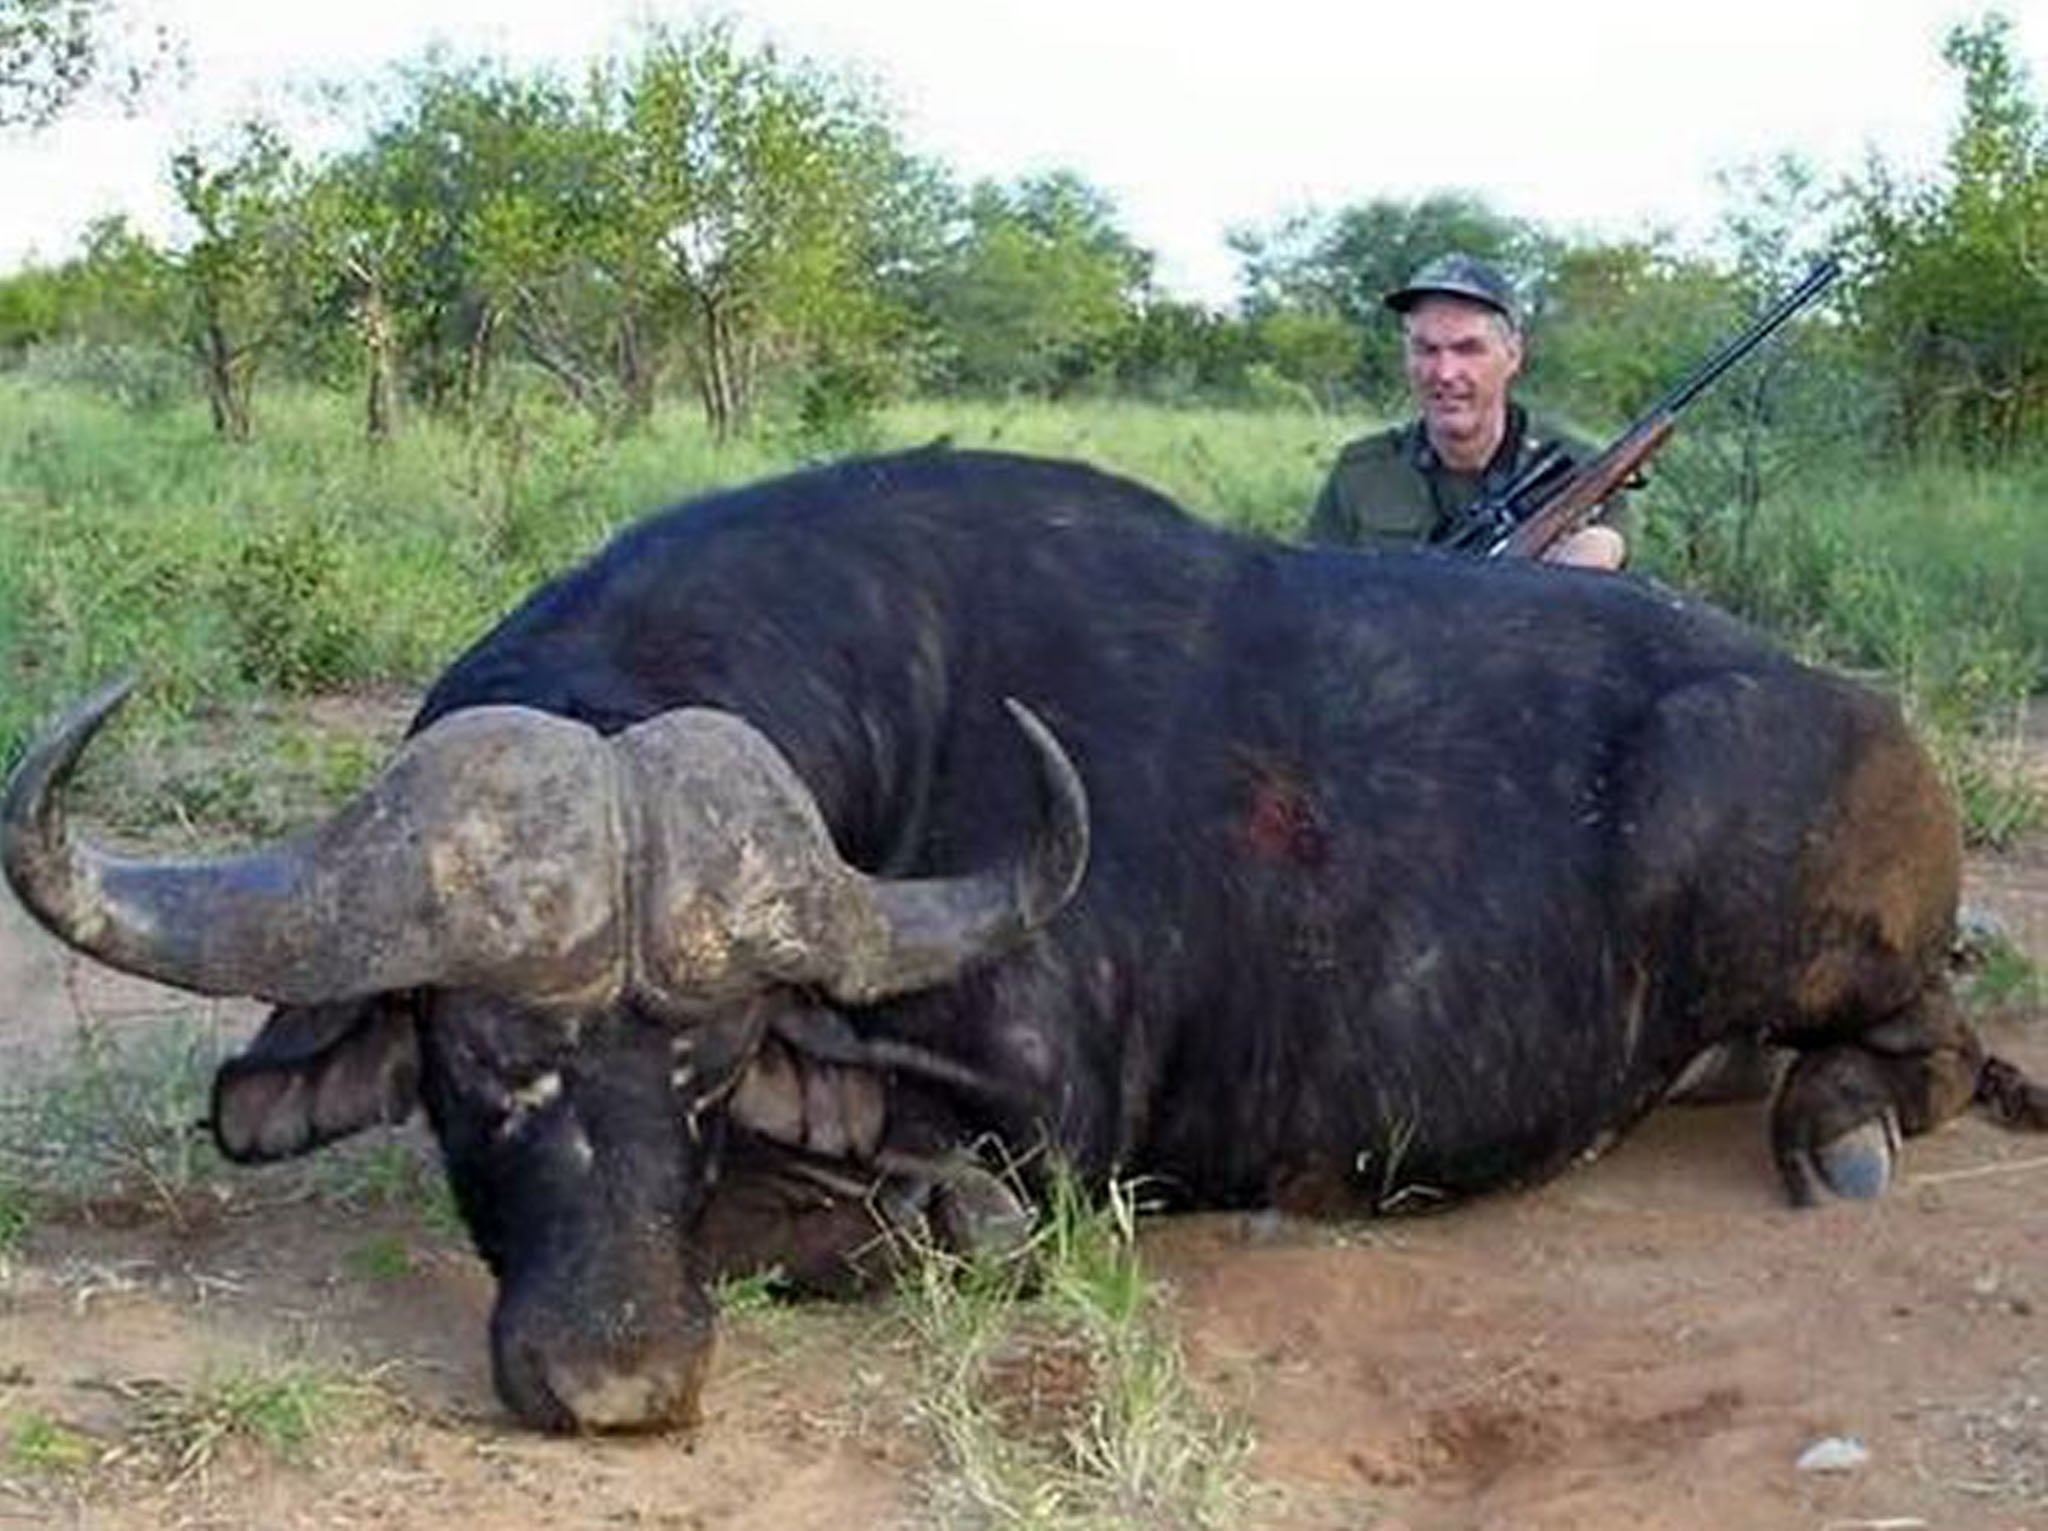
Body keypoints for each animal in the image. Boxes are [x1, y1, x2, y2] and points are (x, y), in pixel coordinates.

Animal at [8, 446, 2039, 1432]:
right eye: (482, 1061)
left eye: (712, 1065)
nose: (618, 1377)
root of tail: (1858, 721)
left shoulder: (1032, 1152)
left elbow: (898, 1218)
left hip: (1805, 918)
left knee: (1928, 1045)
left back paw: (1834, 1131)